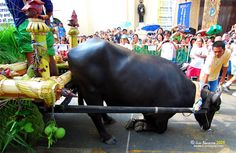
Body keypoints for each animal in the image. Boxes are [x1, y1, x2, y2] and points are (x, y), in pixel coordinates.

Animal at [68, 38, 221, 145]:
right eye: (213, 109)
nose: (207, 126)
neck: (180, 86)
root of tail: (72, 51)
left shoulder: (148, 110)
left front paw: (135, 122)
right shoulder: (162, 115)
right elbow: (161, 129)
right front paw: (140, 125)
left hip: (94, 92)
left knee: (99, 110)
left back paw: (108, 119)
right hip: (91, 91)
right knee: (94, 113)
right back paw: (107, 137)